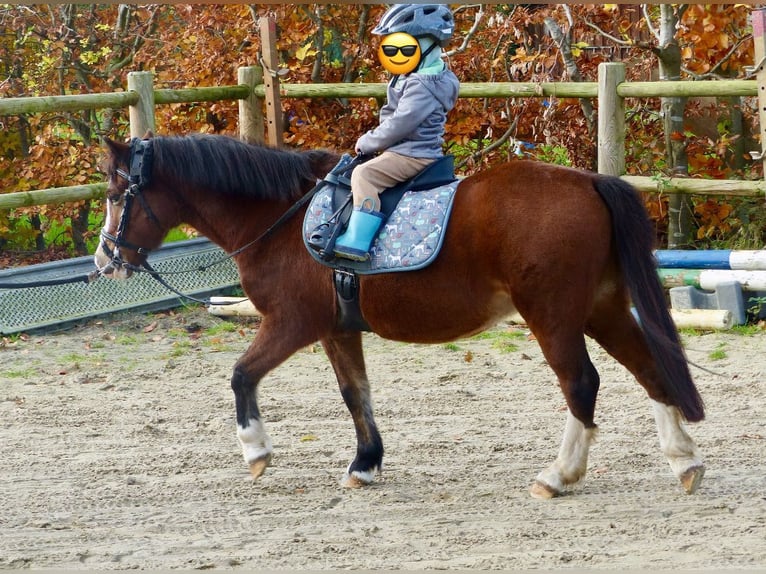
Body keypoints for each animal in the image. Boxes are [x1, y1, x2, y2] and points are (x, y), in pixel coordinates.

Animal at [96, 135, 708, 500]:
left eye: (116, 192)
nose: (105, 258)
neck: (282, 219)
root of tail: (586, 180)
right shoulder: (337, 330)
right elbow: (356, 395)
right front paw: (365, 464)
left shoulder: (292, 324)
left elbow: (242, 374)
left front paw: (256, 452)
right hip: (602, 308)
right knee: (649, 369)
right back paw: (683, 461)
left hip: (553, 315)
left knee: (582, 383)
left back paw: (558, 476)